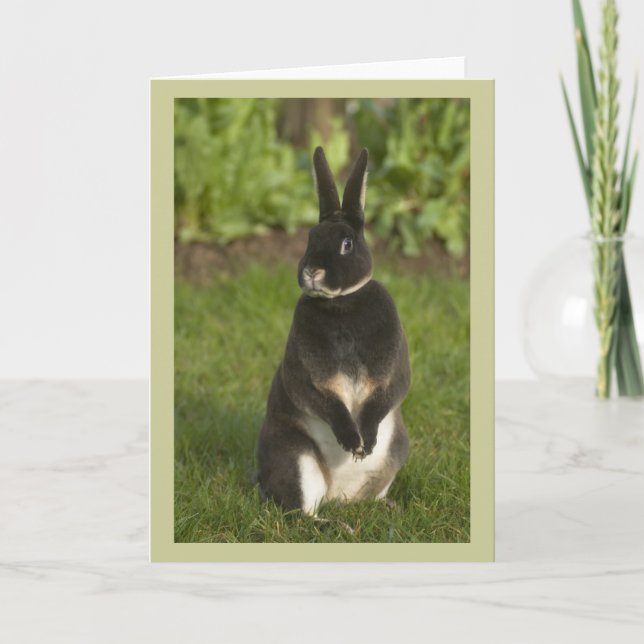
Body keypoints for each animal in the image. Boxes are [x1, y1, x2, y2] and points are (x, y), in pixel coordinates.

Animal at [256, 146, 410, 515]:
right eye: (310, 238)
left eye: (347, 244)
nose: (312, 271)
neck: (342, 303)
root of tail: (341, 497)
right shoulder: (306, 377)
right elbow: (326, 403)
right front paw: (352, 442)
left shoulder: (394, 373)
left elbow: (386, 396)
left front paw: (364, 443)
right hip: (295, 458)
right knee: (301, 512)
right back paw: (334, 522)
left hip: (397, 452)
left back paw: (385, 508)